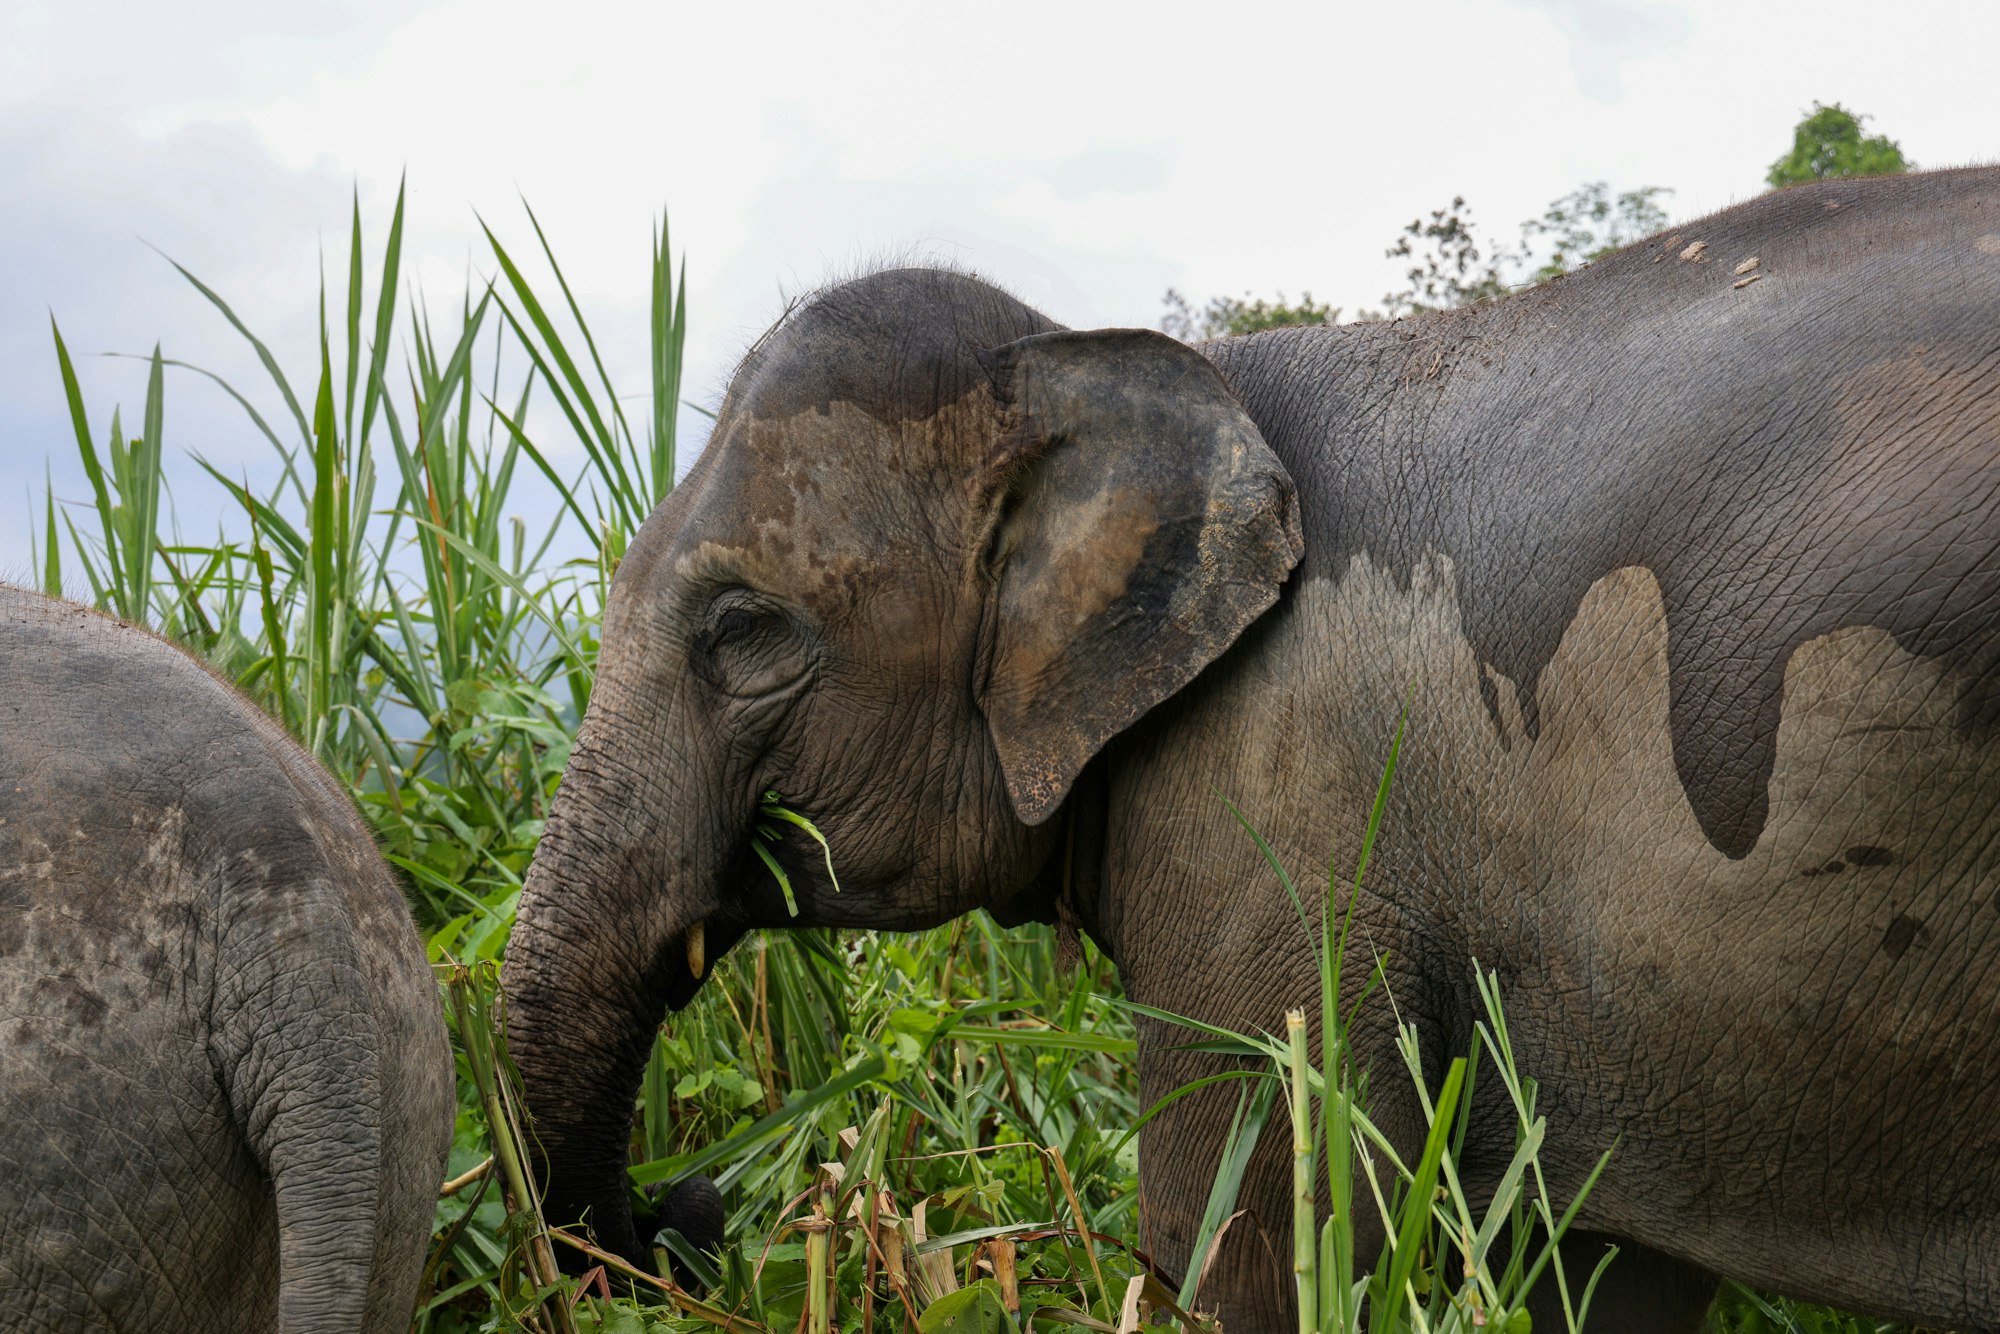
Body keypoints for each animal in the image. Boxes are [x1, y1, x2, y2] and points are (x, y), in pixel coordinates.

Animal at [496, 164, 2000, 1328]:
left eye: (743, 632)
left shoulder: (1279, 831)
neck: (1112, 365)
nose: (705, 1200)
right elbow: (1598, 1270)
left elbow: (1249, 1242)